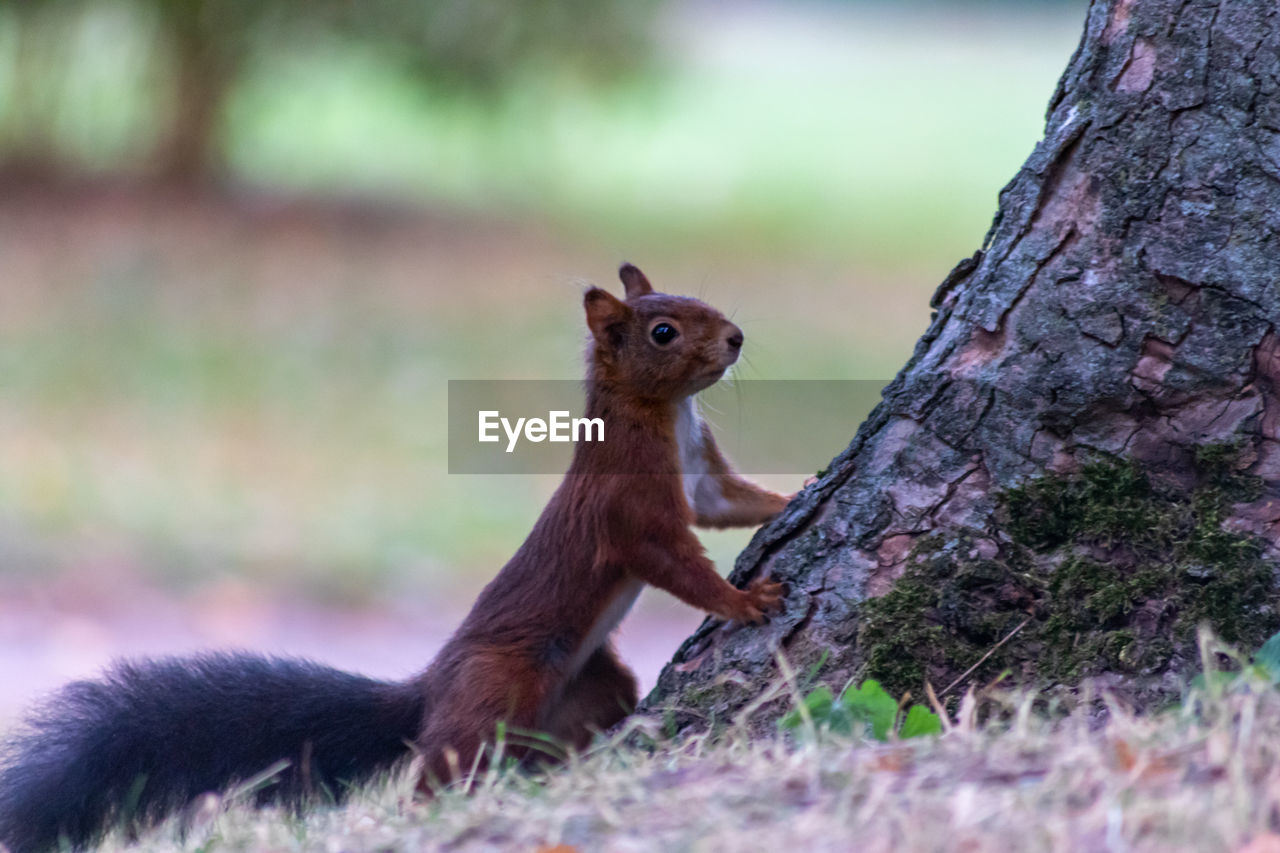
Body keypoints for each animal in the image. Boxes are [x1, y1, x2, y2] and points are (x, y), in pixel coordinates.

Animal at [0, 262, 788, 845]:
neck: (663, 416)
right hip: (494, 687)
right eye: (663, 331)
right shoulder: (632, 510)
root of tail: (429, 688)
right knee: (440, 769)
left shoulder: (702, 475)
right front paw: (745, 600)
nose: (738, 338)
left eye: (698, 300)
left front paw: (789, 499)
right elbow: (675, 562)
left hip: (592, 682)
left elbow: (731, 503)